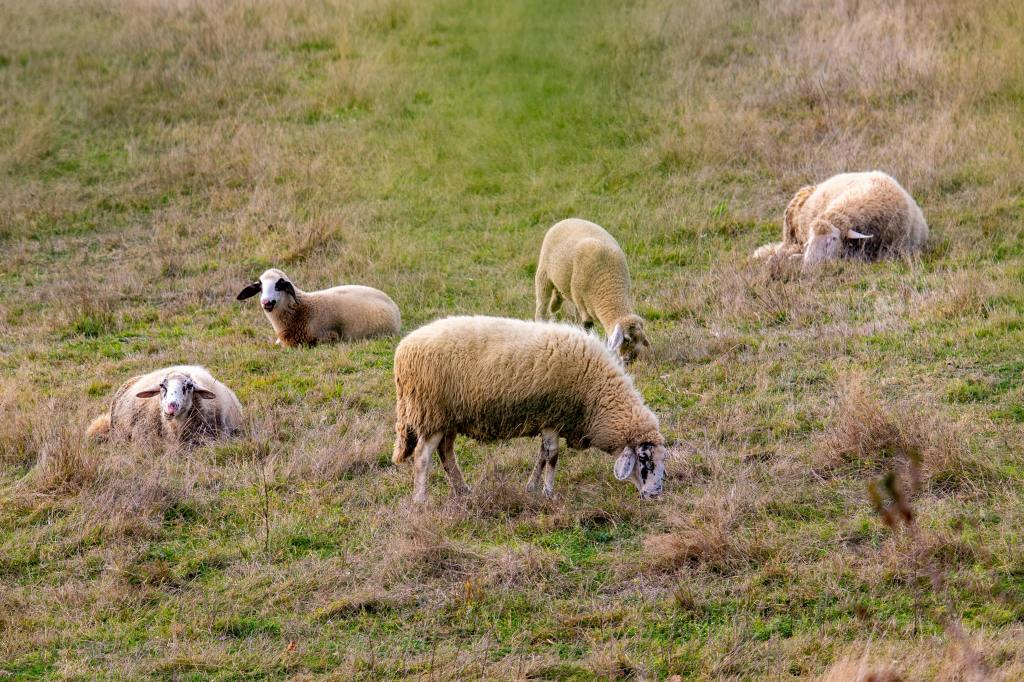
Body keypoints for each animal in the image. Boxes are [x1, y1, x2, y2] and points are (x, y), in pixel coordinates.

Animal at [391, 315, 667, 503]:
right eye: (644, 459)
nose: (655, 495)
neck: (597, 395)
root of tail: (403, 349)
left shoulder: (547, 419)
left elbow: (542, 456)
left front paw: (532, 488)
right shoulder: (555, 417)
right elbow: (552, 456)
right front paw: (548, 493)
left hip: (448, 418)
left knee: (446, 454)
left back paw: (463, 491)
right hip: (431, 412)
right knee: (422, 456)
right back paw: (421, 500)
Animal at [534, 218, 650, 363]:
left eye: (641, 341)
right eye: (627, 339)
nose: (629, 361)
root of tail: (568, 219)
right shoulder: (582, 303)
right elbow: (587, 327)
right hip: (543, 275)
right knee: (541, 307)